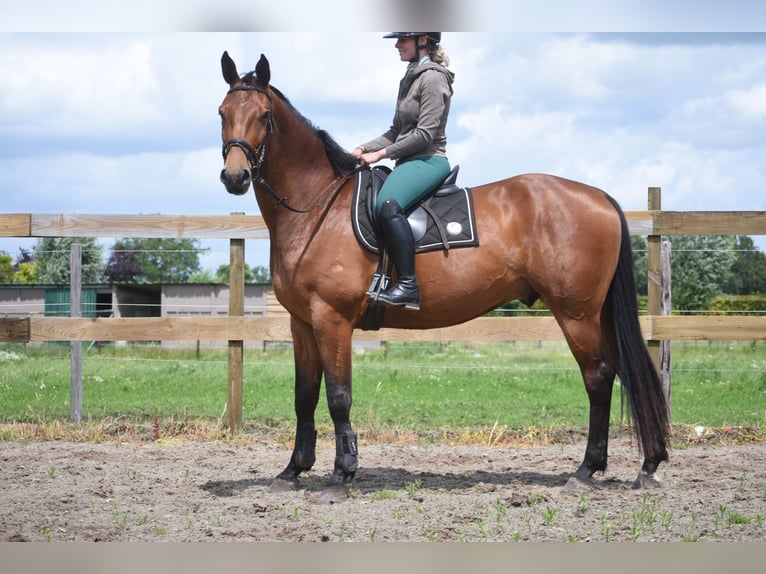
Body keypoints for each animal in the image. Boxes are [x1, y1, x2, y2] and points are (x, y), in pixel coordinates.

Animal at [218, 51, 670, 500]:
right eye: (223, 112)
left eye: (263, 115)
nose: (235, 177)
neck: (319, 206)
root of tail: (598, 196)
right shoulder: (303, 323)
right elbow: (305, 396)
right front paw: (292, 470)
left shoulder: (332, 319)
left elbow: (338, 396)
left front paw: (341, 476)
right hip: (597, 314)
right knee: (625, 373)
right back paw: (648, 464)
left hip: (576, 313)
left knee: (599, 377)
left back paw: (586, 470)